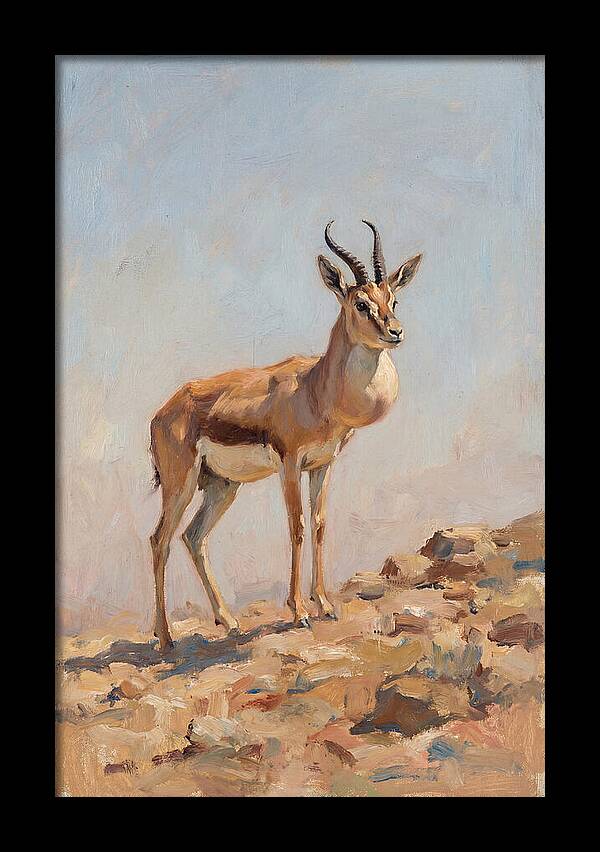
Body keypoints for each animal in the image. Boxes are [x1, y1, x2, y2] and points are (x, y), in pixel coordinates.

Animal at [149, 221, 422, 650]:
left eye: (392, 298)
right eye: (360, 303)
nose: (395, 332)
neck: (316, 389)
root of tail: (163, 412)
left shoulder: (323, 465)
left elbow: (320, 525)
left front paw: (325, 604)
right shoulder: (290, 464)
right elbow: (296, 527)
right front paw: (299, 612)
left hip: (222, 486)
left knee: (193, 537)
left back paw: (229, 622)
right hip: (181, 483)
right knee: (159, 540)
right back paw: (165, 638)